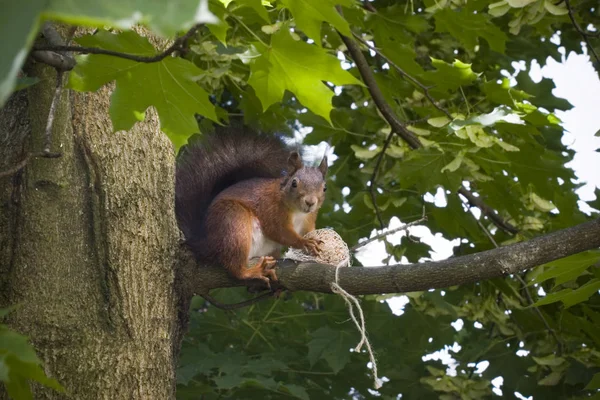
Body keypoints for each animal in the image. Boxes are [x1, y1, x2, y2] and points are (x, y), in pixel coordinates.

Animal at [175, 126, 328, 286]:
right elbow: (278, 231)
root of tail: (205, 243)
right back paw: (252, 272)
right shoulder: (271, 209)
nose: (310, 202)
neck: (298, 213)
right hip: (233, 223)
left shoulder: (309, 219)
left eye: (325, 188)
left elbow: (309, 231)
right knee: (234, 267)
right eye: (294, 183)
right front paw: (304, 242)